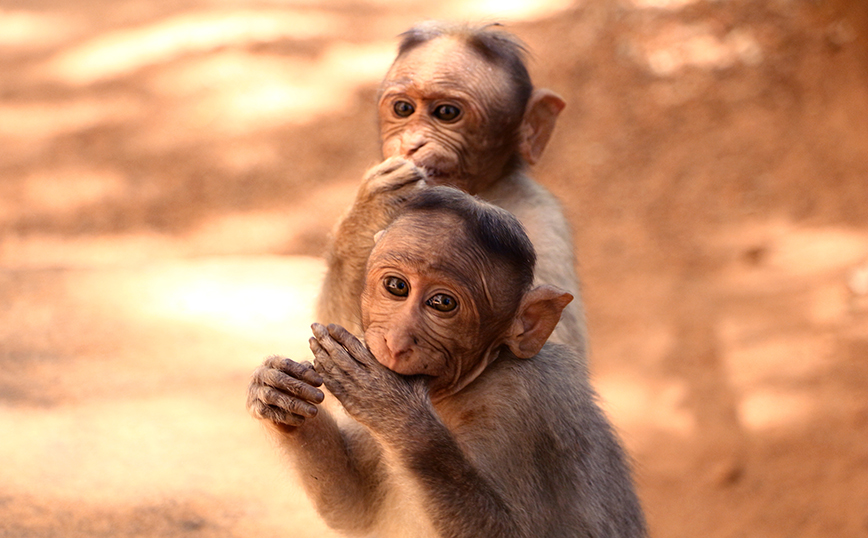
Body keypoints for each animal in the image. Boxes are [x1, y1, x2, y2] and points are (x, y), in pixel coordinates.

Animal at [248, 185, 640, 536]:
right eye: (396, 287)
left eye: (442, 304)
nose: (396, 341)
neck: (465, 386)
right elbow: (354, 510)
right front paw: (278, 391)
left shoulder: (528, 405)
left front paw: (395, 411)